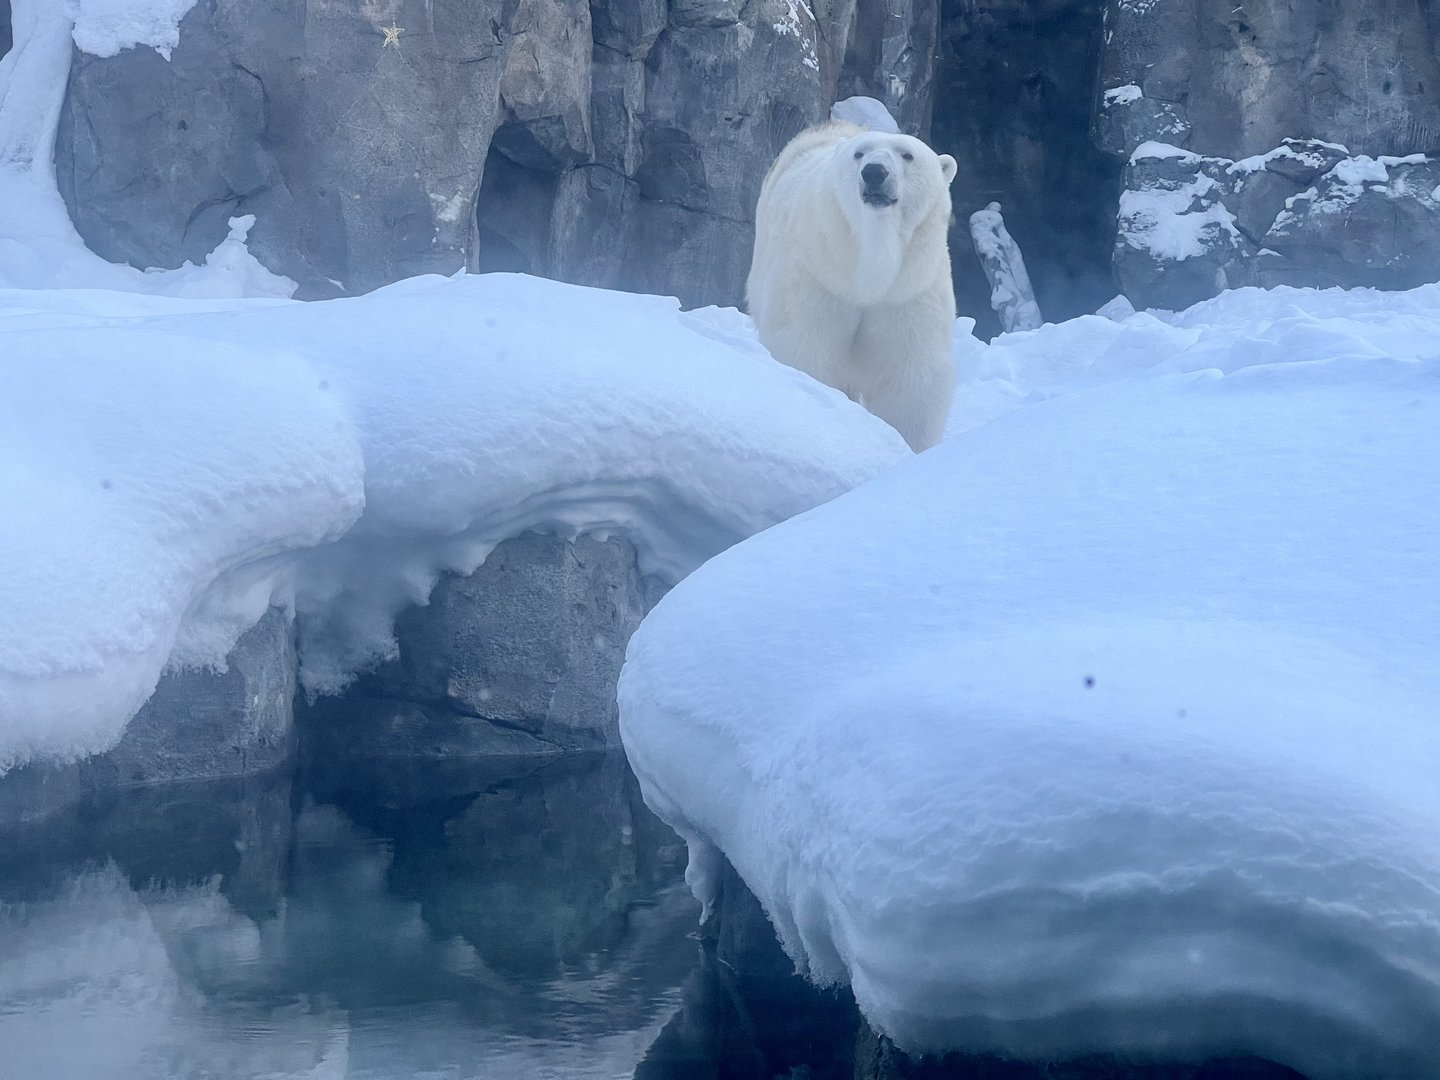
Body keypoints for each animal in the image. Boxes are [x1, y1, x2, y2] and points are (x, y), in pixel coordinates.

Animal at [746, 120, 959, 452]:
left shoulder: (908, 289)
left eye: (907, 155)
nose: (874, 172)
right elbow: (806, 344)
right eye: (859, 154)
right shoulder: (820, 271)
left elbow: (911, 373)